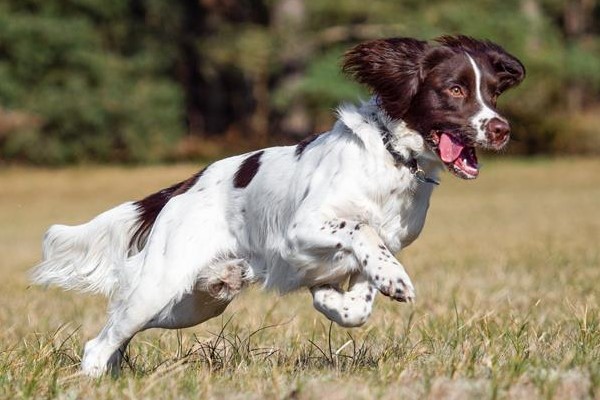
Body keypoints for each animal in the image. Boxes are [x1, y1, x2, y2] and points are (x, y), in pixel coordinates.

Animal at [30, 34, 524, 376]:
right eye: (455, 90)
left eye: (494, 93)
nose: (501, 129)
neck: (392, 160)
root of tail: (184, 187)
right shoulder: (301, 229)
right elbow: (361, 230)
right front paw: (394, 281)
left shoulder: (385, 243)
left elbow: (360, 294)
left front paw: (338, 300)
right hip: (158, 286)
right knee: (100, 342)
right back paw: (93, 378)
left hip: (191, 305)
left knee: (118, 334)